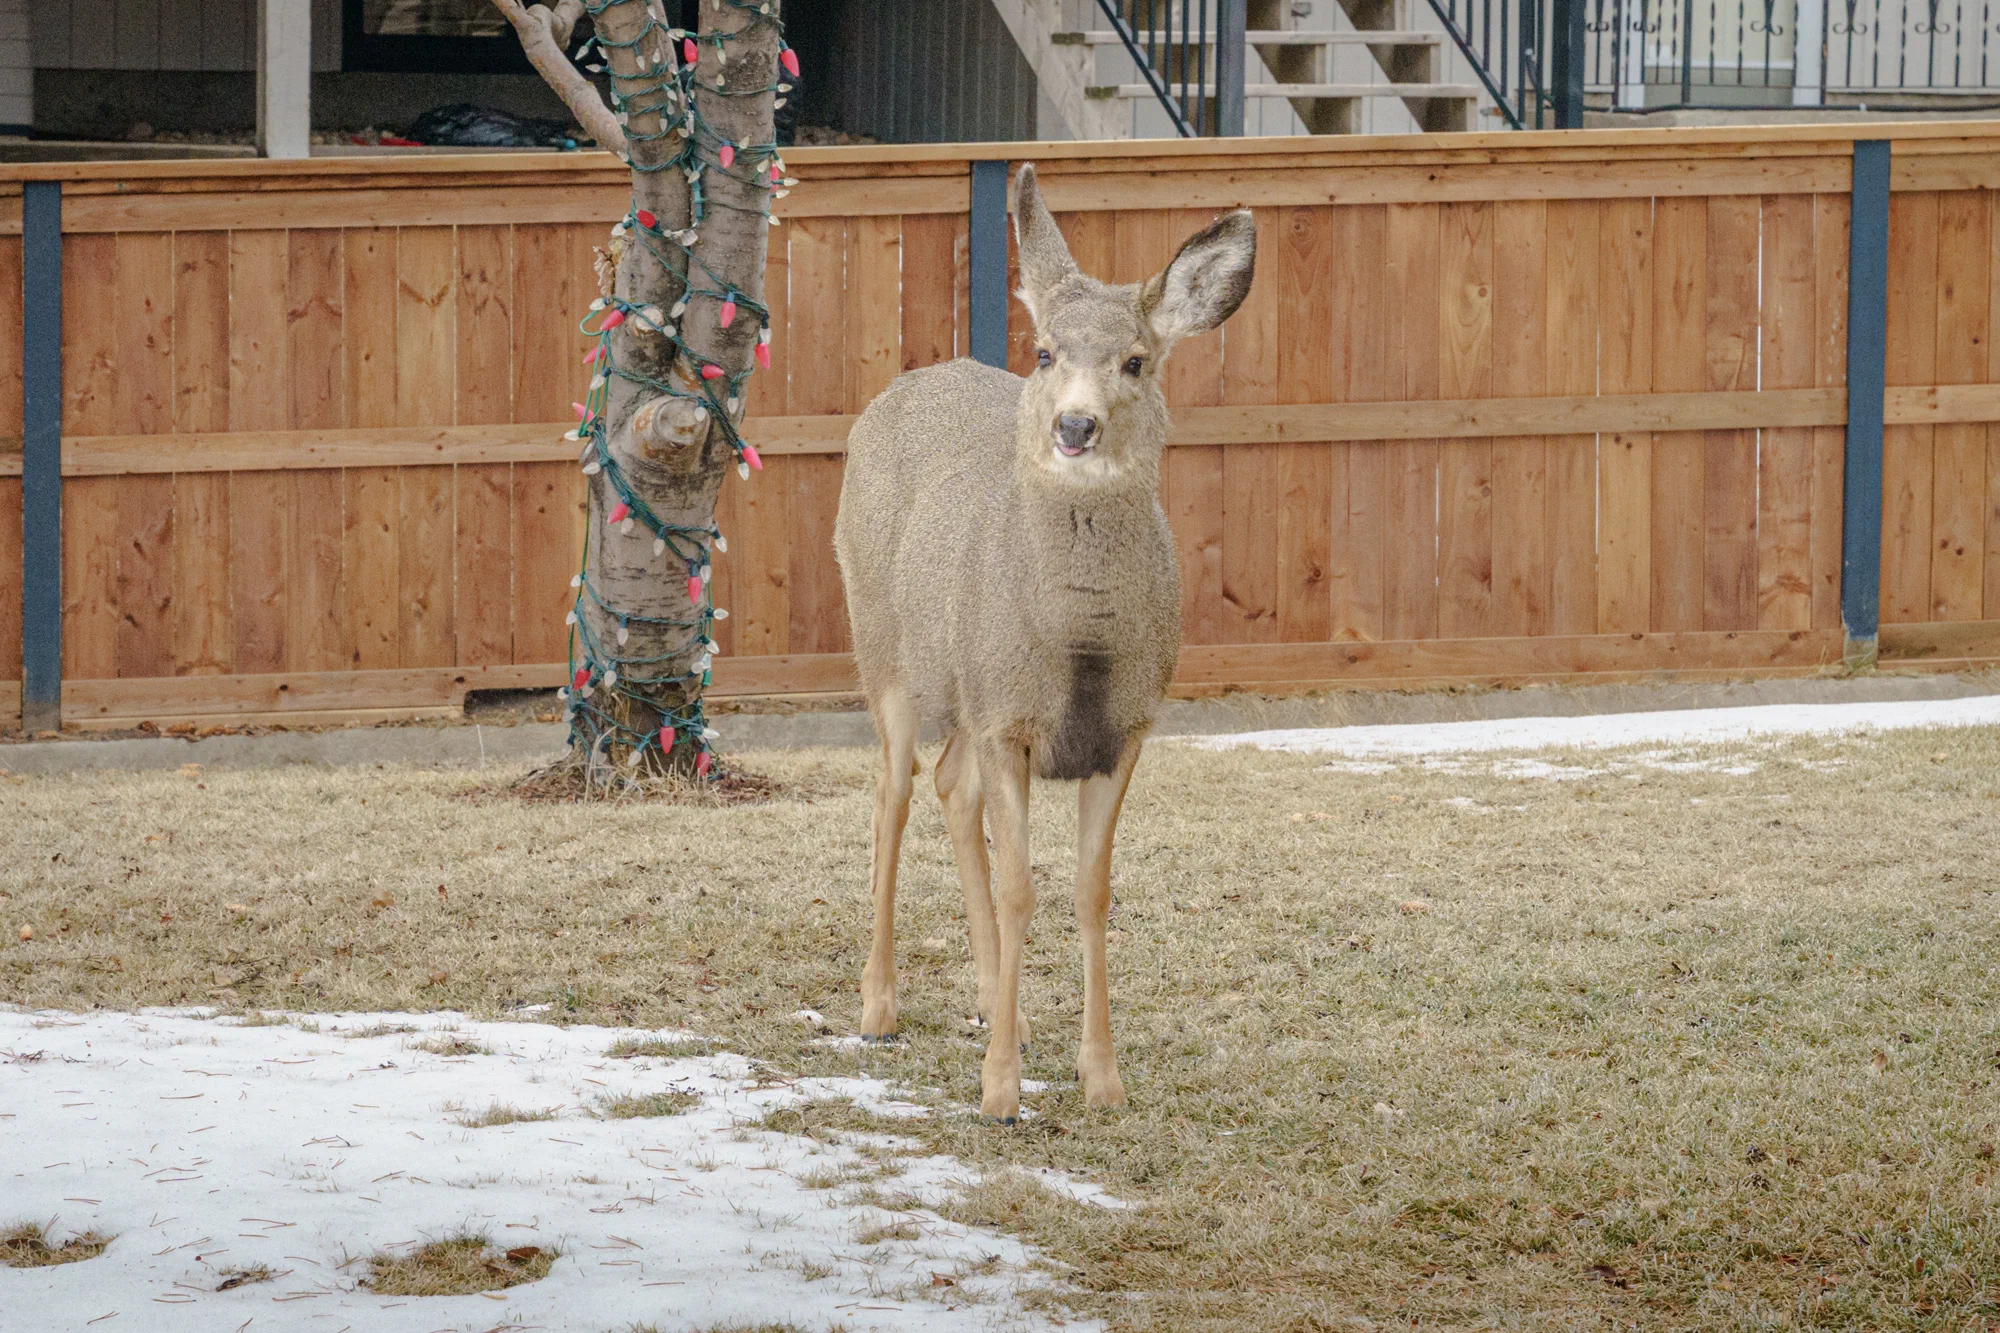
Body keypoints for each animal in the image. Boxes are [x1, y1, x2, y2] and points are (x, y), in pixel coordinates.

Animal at [832, 164, 1256, 1124]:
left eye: (1136, 359)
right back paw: (879, 1005)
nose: (1074, 427)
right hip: (884, 649)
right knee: (891, 796)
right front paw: (1000, 1090)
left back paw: (1002, 1002)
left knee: (948, 787)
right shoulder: (1008, 720)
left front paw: (1101, 1077)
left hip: (963, 684)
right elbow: (1023, 884)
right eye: (1045, 352)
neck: (1079, 644)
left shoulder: (1126, 726)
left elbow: (1094, 890)